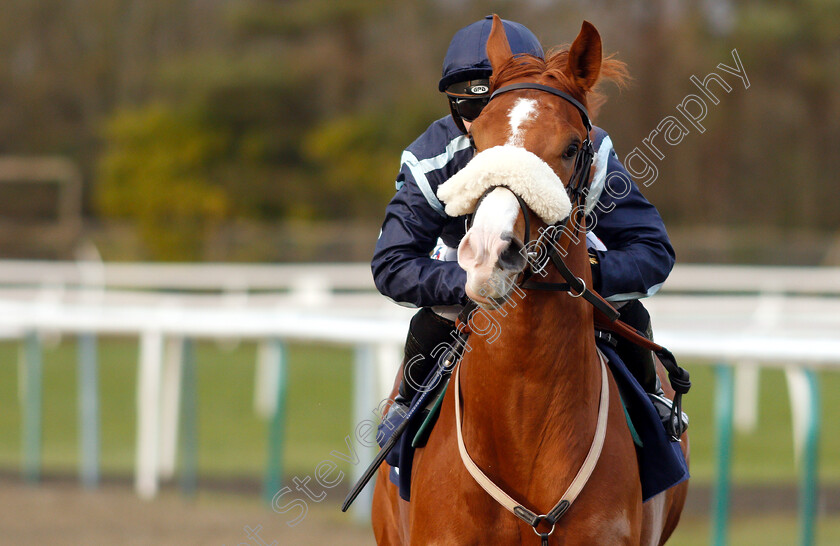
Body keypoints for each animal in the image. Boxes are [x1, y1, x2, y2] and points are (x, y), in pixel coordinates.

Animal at [374, 14, 688, 540]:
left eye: (572, 147)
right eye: (476, 143)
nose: (487, 253)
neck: (524, 423)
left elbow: (651, 247)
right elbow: (393, 260)